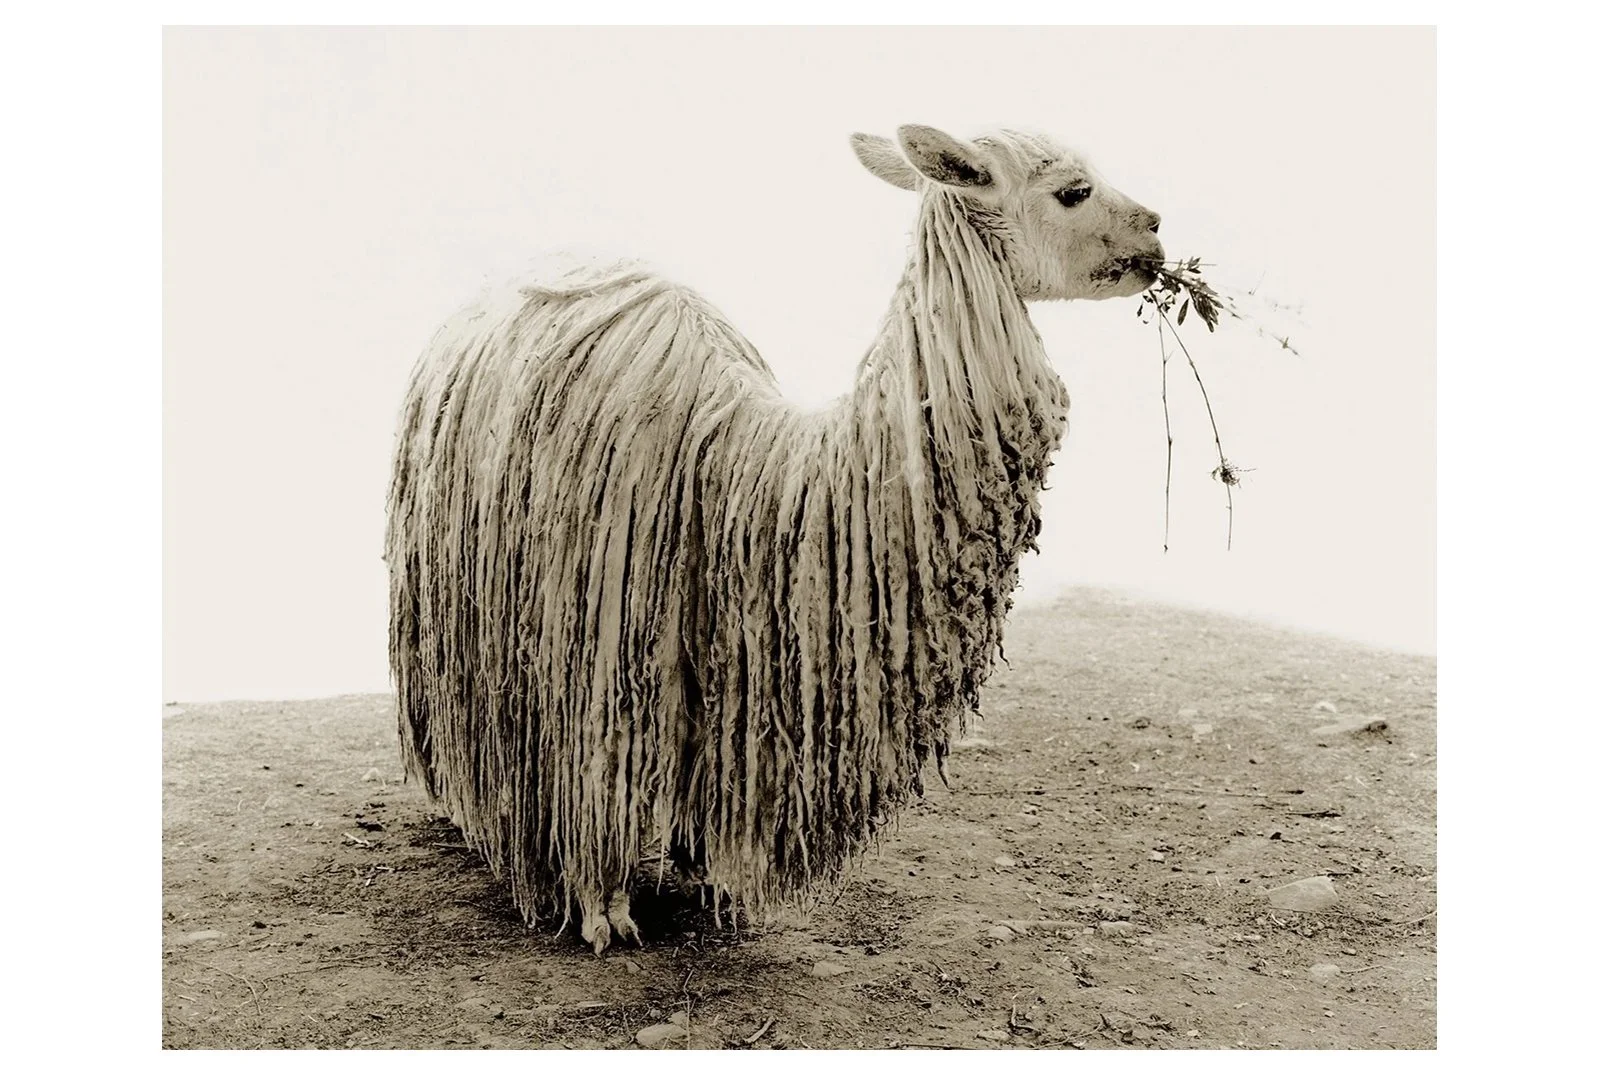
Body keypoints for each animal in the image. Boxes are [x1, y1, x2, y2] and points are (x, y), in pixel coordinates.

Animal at [386, 124, 1164, 953]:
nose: (1157, 231)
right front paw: (603, 908)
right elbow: (598, 774)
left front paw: (703, 868)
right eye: (1074, 190)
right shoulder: (596, 650)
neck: (748, 472)